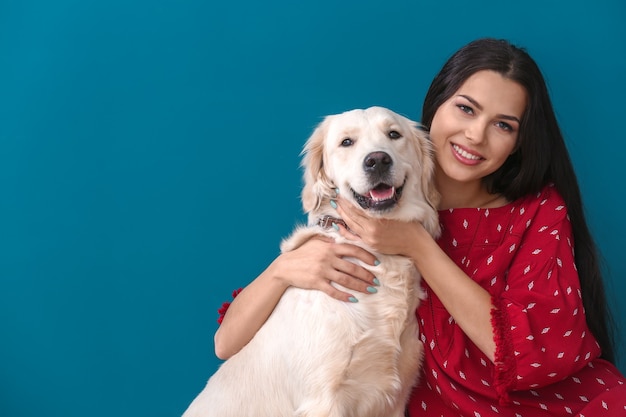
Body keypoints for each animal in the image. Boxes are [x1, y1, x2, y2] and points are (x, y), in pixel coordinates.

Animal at [182, 106, 438, 416]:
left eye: (394, 134)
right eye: (346, 142)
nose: (377, 160)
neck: (377, 255)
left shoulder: (395, 399)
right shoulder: (324, 399)